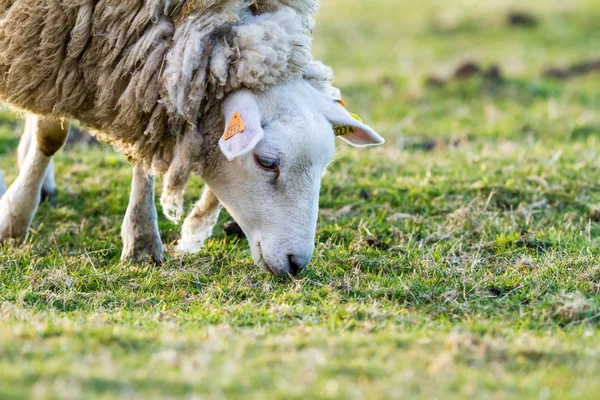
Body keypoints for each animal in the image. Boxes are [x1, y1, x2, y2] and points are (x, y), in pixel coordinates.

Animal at [0, 0, 384, 276]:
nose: (296, 263)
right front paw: (15, 216)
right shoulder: (48, 41)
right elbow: (51, 132)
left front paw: (141, 240)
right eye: (267, 162)